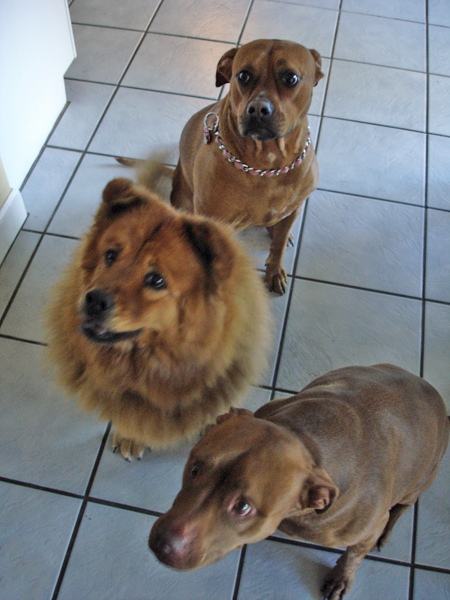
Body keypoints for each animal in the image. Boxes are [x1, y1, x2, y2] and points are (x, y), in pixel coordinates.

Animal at [149, 364, 448, 596]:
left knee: (402, 507)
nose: (163, 543)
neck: (305, 437)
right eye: (194, 469)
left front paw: (341, 577)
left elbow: (354, 555)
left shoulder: (368, 526)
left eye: (243, 507)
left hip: (421, 480)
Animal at [170, 38, 324, 296]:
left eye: (291, 78)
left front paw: (275, 270)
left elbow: (278, 247)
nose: (259, 109)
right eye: (243, 75)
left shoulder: (294, 207)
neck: (266, 163)